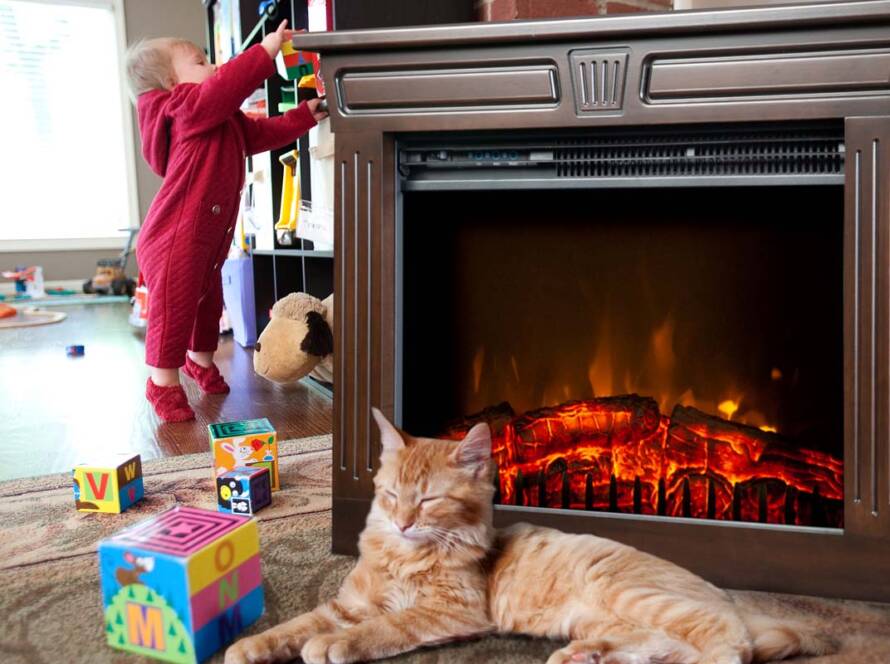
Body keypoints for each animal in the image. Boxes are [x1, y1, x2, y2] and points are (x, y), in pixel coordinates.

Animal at [224, 410, 832, 664]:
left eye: (429, 501)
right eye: (392, 495)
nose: (403, 523)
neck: (403, 557)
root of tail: (723, 594)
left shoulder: (450, 612)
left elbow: (382, 628)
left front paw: (331, 647)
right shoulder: (345, 605)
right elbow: (295, 626)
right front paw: (247, 646)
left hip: (637, 595)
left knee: (729, 646)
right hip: (605, 617)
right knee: (671, 647)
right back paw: (587, 658)